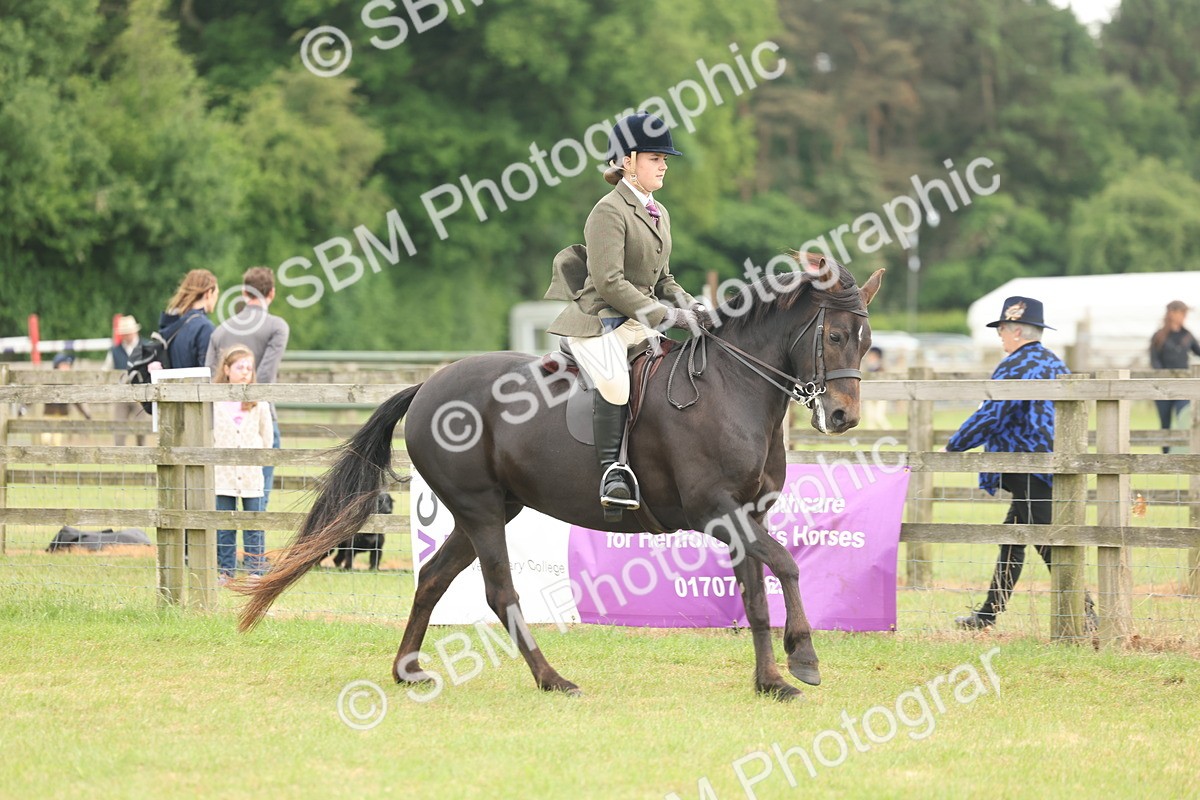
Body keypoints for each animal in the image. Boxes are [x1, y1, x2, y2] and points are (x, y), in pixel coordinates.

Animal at [237, 254, 884, 701]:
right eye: (833, 336)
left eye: (868, 340)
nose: (843, 417)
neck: (732, 388)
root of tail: (427, 386)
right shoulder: (716, 511)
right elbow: (787, 566)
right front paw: (804, 659)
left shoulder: (746, 515)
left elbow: (754, 592)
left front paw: (771, 680)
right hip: (480, 510)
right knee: (500, 594)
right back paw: (553, 679)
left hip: (487, 511)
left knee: (433, 580)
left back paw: (408, 669)